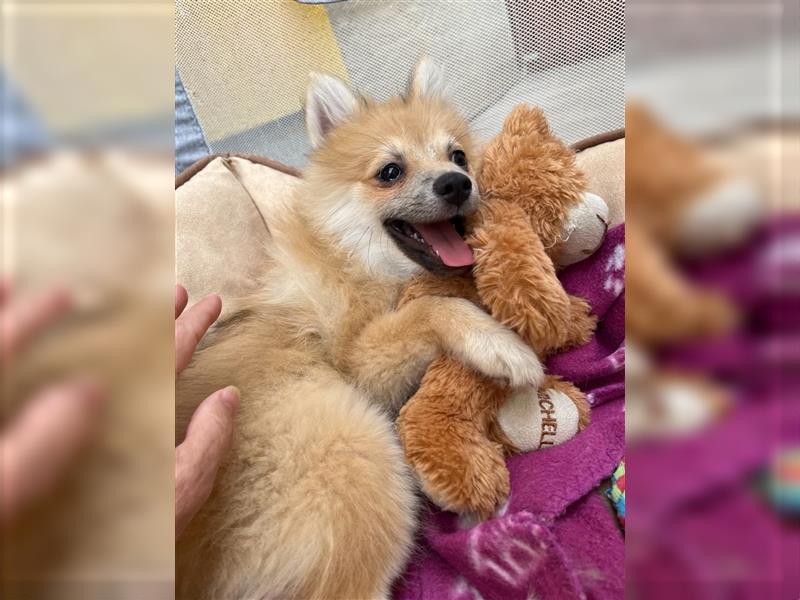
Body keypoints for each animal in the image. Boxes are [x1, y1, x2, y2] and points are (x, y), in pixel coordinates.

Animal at [177, 57, 544, 600]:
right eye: (390, 172)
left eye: (457, 155)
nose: (456, 183)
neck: (356, 259)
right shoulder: (358, 358)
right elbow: (432, 308)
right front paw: (500, 345)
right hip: (358, 454)